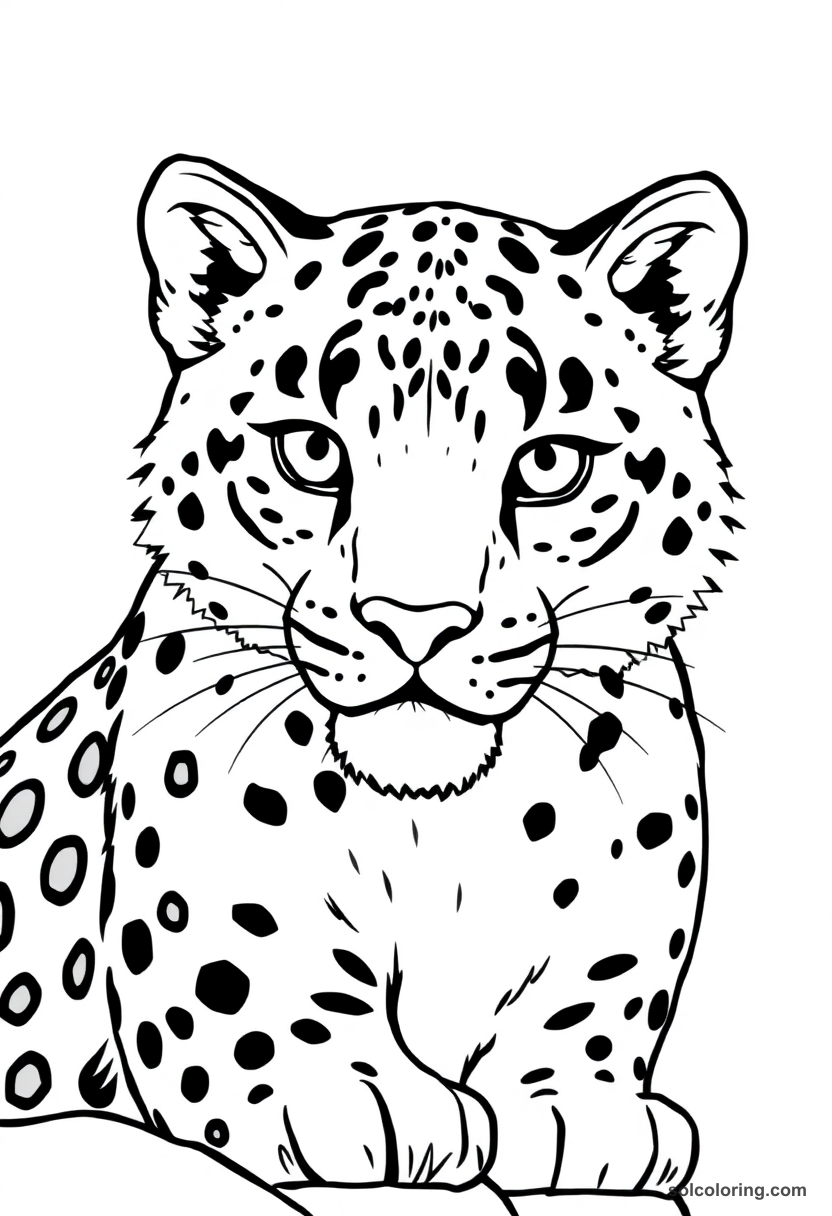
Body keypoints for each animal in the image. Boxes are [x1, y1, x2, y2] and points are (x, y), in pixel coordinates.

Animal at [0, 156, 746, 1215]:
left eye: (551, 463)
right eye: (312, 450)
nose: (417, 621)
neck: (446, 830)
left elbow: (583, 1013)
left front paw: (580, 1111)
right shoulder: (217, 979)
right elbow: (271, 1024)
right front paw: (364, 1100)